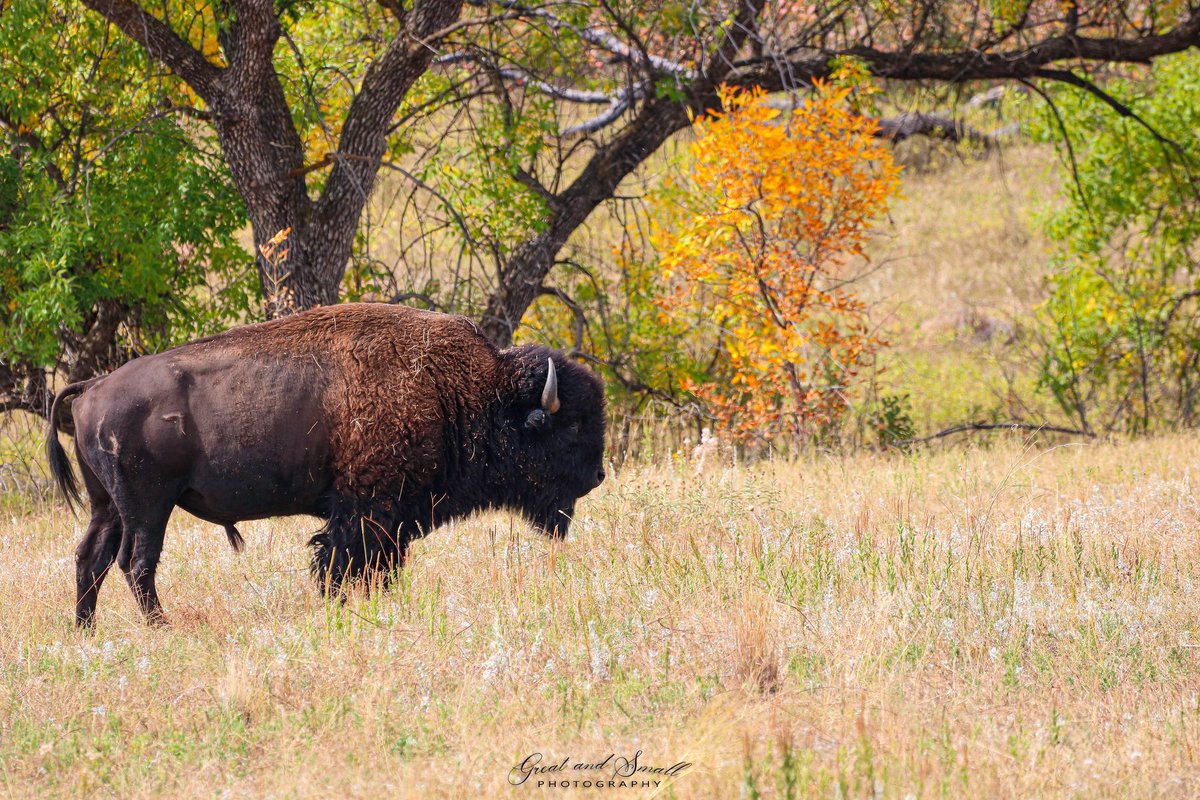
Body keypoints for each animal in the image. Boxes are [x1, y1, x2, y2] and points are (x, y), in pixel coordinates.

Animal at [44, 303, 609, 628]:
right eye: (570, 425)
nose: (598, 476)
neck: (464, 392)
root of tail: (92, 387)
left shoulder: (389, 518)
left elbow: (379, 565)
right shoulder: (366, 509)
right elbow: (342, 561)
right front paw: (337, 604)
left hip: (107, 506)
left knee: (90, 559)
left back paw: (85, 630)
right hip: (148, 506)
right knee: (135, 563)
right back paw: (160, 627)